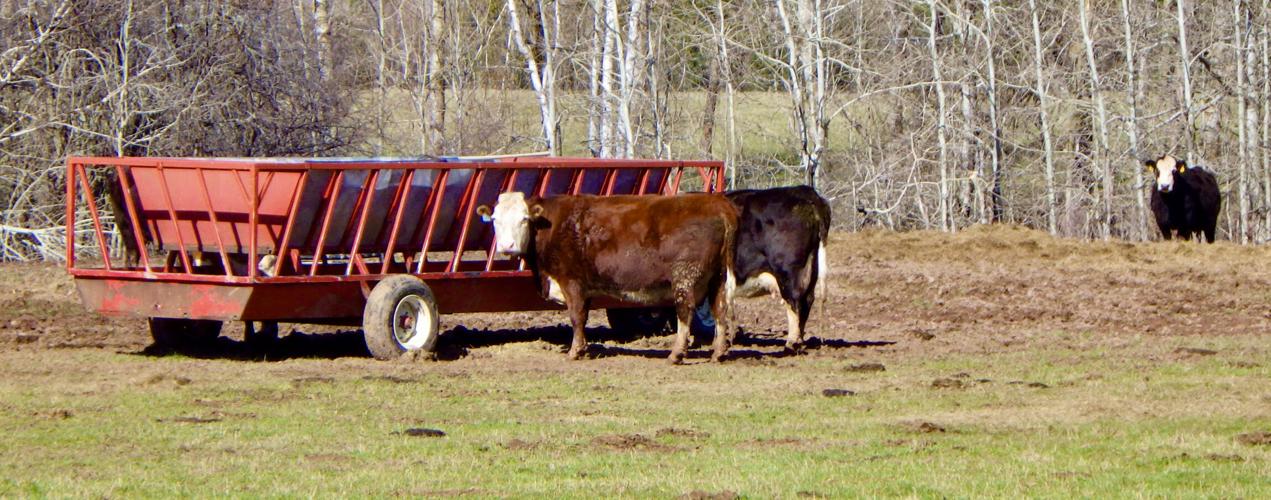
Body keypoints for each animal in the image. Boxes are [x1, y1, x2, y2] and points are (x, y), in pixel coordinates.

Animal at [478, 192, 739, 363]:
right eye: (495, 220)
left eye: (524, 219)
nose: (507, 246)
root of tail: (717, 203)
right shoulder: (585, 287)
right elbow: (583, 317)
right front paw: (582, 348)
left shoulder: (571, 281)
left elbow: (576, 316)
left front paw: (575, 351)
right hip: (717, 278)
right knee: (719, 309)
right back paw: (718, 352)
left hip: (685, 277)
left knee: (685, 311)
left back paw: (676, 354)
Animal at [726, 186, 831, 353]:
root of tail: (804, 191)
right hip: (811, 267)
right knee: (807, 301)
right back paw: (800, 340)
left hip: (788, 271)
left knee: (794, 300)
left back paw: (791, 343)